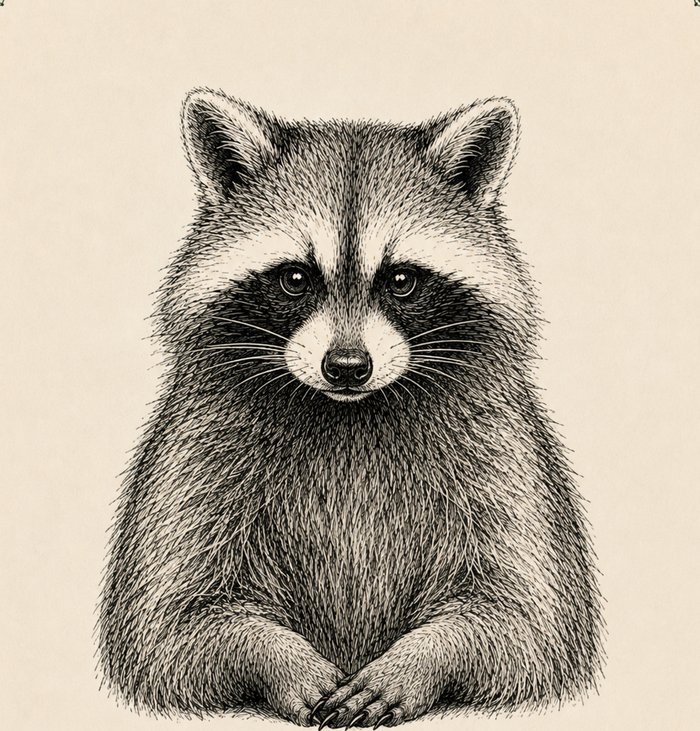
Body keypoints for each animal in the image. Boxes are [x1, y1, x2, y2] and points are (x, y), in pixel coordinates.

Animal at [98, 89, 603, 727]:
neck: (349, 412)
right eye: (294, 278)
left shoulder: (500, 453)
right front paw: (281, 660)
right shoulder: (196, 453)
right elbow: (169, 624)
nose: (346, 366)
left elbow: (527, 621)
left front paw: (416, 661)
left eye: (402, 279)